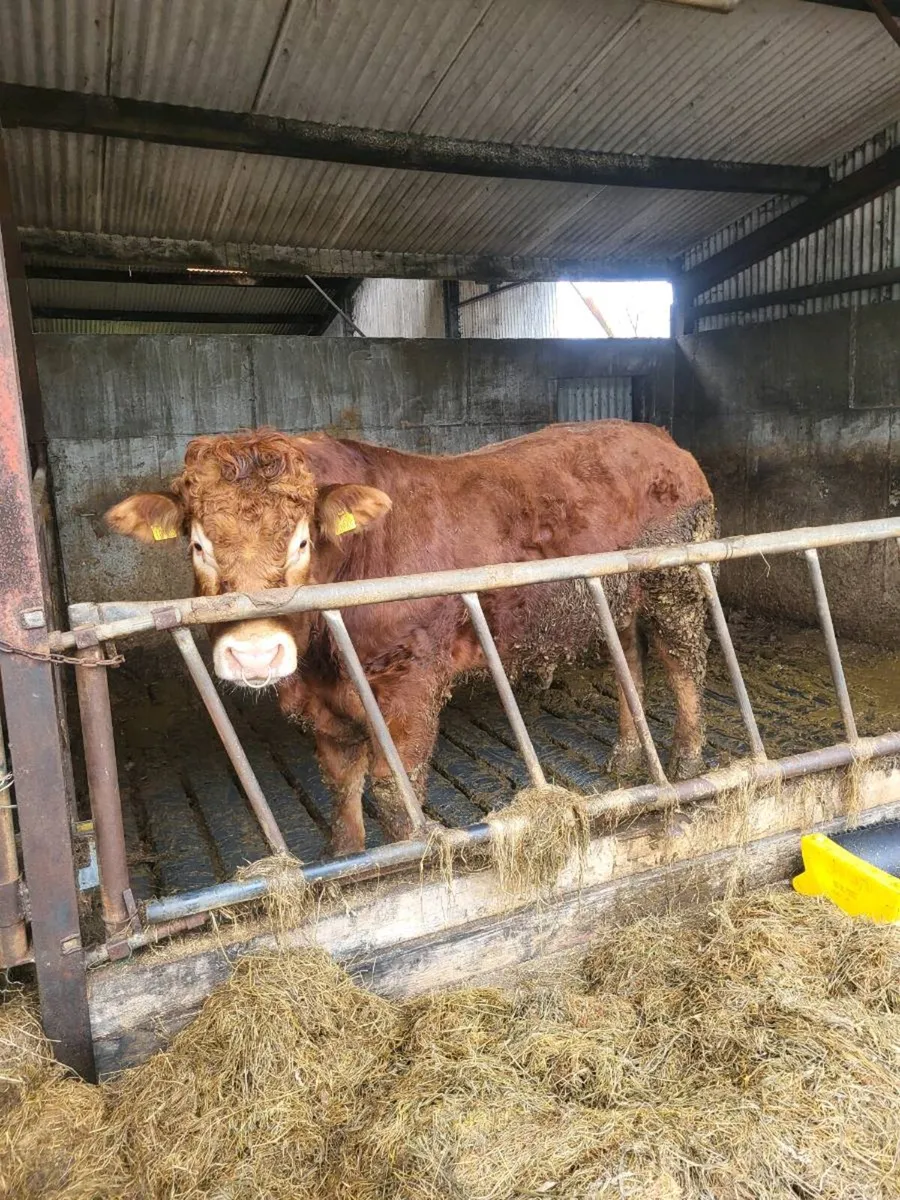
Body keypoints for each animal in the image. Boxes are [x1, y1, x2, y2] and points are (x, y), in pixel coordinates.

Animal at [105, 421, 716, 856]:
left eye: (303, 542)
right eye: (198, 546)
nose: (255, 652)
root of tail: (659, 437)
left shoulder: (411, 683)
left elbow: (394, 795)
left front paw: (399, 868)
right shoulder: (324, 704)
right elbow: (342, 788)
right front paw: (346, 862)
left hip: (676, 584)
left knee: (683, 662)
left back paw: (686, 764)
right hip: (614, 595)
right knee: (628, 660)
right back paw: (629, 756)